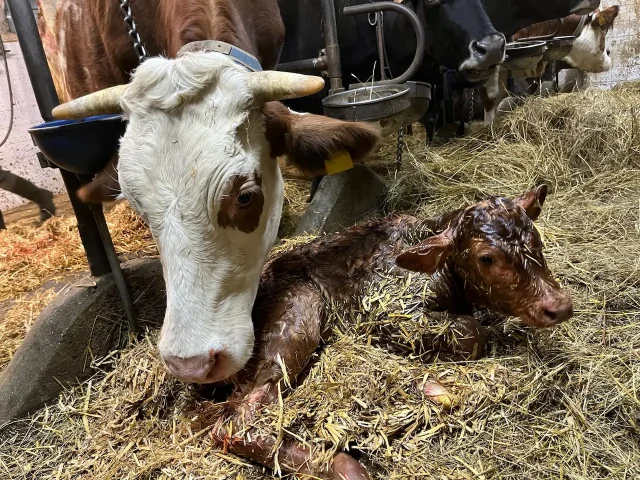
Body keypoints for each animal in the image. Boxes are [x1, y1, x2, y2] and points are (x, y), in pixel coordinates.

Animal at [194, 185, 568, 480]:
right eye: (486, 258)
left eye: (536, 238)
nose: (558, 305)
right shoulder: (384, 310)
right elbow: (473, 332)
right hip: (299, 309)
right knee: (240, 417)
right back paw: (349, 465)